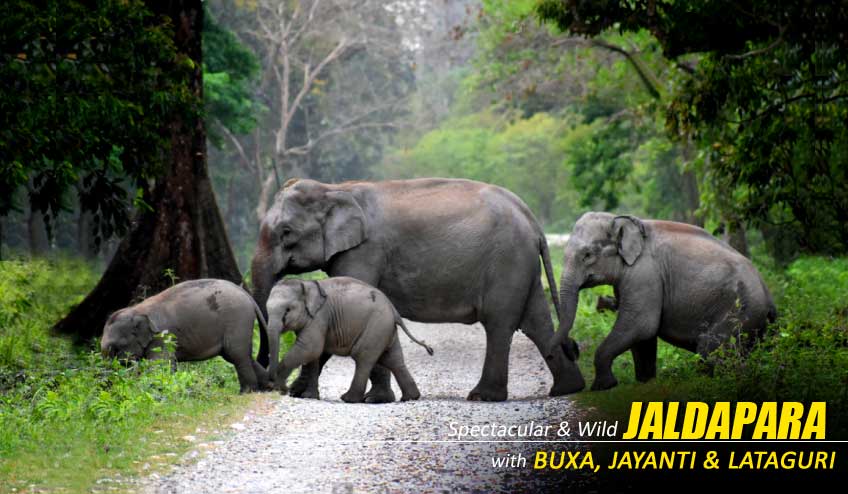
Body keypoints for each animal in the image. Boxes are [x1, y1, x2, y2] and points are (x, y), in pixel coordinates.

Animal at [101, 279, 271, 393]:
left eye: (116, 348)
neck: (137, 309)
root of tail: (247, 295)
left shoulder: (163, 338)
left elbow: (160, 365)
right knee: (239, 355)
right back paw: (268, 387)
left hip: (238, 319)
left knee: (237, 354)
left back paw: (247, 392)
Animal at [266, 277, 434, 403]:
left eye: (288, 310)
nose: (284, 389)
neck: (305, 283)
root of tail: (394, 310)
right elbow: (314, 355)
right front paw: (309, 397)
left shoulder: (320, 317)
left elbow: (310, 348)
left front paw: (280, 388)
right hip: (385, 329)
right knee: (393, 360)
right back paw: (410, 397)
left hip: (376, 327)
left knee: (363, 358)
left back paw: (349, 399)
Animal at [548, 212, 777, 391]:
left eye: (587, 255)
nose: (573, 348)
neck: (622, 219)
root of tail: (768, 294)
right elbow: (642, 337)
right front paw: (645, 384)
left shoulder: (645, 275)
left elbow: (640, 326)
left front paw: (603, 387)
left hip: (741, 310)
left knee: (709, 348)